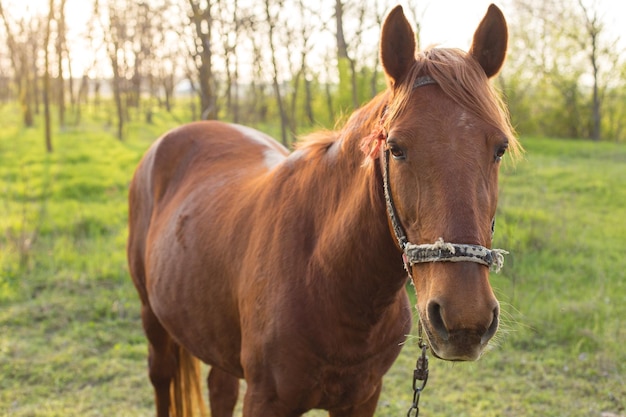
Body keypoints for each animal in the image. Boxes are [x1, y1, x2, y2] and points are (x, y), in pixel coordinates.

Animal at [125, 4, 516, 416]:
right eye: (396, 148)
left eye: (499, 148)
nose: (465, 319)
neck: (327, 274)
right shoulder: (265, 400)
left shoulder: (362, 397)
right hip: (153, 318)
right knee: (162, 377)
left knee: (220, 387)